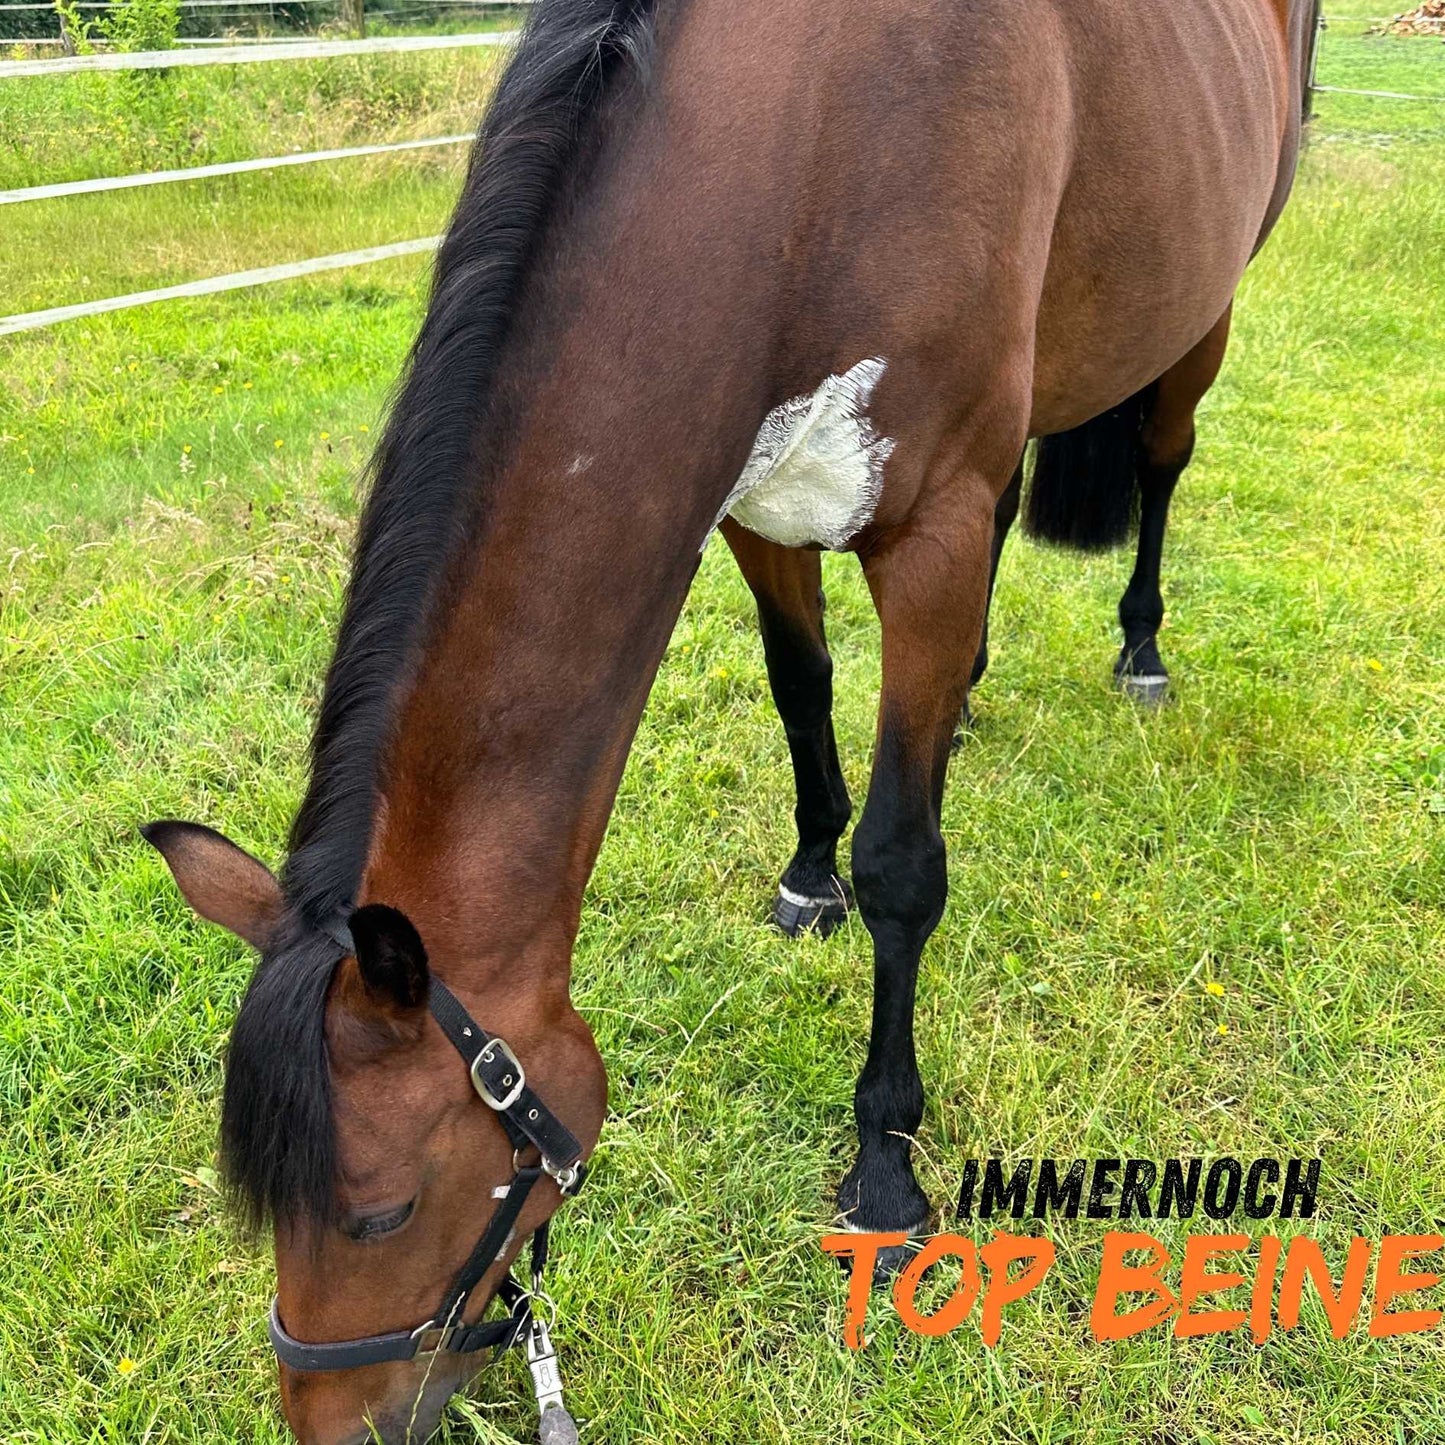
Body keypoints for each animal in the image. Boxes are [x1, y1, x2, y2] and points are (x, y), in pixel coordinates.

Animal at [143, 0, 1323, 1439]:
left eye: (383, 1211)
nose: (330, 1425)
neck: (818, 141)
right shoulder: (753, 498)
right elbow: (801, 693)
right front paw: (811, 866)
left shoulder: (928, 530)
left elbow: (903, 867)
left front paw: (885, 1163)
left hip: (1204, 305)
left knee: (1162, 461)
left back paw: (1139, 647)